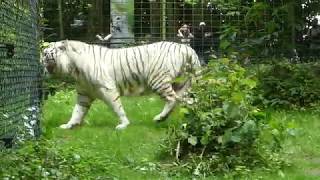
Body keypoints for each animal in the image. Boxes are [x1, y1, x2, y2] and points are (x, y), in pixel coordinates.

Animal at [43, 40, 200, 129]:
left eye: (47, 52)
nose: (42, 55)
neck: (74, 69)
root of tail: (187, 48)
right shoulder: (84, 94)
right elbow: (77, 111)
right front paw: (69, 125)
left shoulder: (108, 89)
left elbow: (116, 107)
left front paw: (123, 125)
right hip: (180, 84)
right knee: (187, 100)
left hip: (158, 80)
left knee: (173, 99)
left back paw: (161, 118)